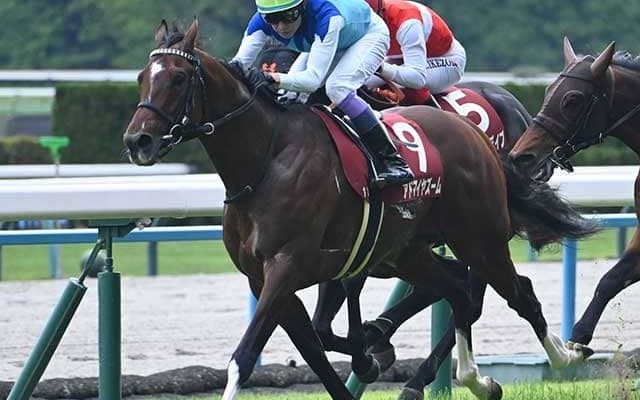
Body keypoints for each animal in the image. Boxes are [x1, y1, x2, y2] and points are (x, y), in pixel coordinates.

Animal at [124, 20, 597, 400]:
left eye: (179, 78)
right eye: (142, 77)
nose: (137, 140)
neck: (267, 160)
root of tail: (476, 133)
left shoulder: (289, 264)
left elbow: (246, 354)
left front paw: (371, 350)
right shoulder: (270, 276)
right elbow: (314, 346)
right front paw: (368, 354)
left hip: (479, 237)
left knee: (514, 292)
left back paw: (564, 357)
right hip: (409, 252)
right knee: (460, 291)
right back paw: (470, 378)